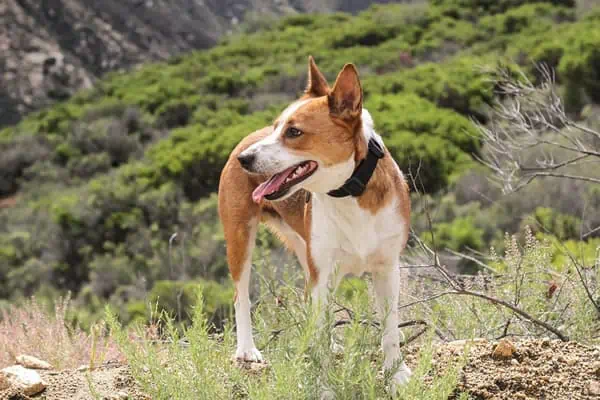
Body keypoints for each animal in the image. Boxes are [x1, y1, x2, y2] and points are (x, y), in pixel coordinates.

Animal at [219, 55, 412, 388]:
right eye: (276, 128)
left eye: (294, 132)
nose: (245, 159)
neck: (349, 192)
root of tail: (245, 138)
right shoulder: (323, 271)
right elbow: (320, 334)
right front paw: (324, 385)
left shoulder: (387, 268)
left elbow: (389, 328)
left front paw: (396, 374)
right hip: (240, 239)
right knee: (240, 295)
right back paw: (246, 349)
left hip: (306, 253)